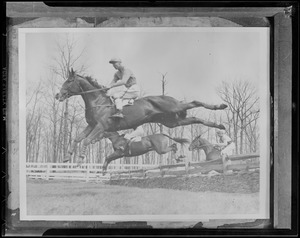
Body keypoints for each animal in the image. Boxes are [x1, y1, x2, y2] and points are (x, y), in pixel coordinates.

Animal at [55, 69, 227, 171]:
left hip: (174, 108)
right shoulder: (91, 126)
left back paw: (220, 106)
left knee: (195, 102)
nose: (58, 95)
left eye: (69, 81)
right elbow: (78, 138)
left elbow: (85, 141)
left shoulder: (100, 127)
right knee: (196, 118)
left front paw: (79, 160)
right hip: (172, 122)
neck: (97, 101)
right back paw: (219, 125)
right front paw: (67, 156)